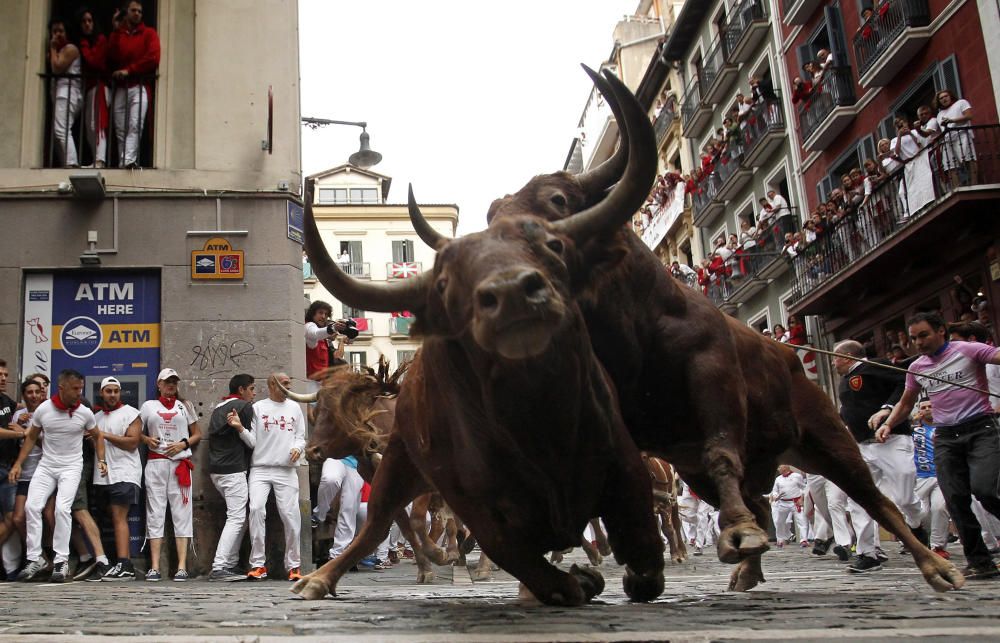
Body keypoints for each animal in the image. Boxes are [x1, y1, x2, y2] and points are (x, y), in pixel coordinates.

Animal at [292, 68, 668, 608]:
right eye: (315, 409)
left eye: (553, 247)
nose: (316, 452)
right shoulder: (434, 483)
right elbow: (419, 525)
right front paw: (441, 562)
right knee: (385, 524)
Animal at [406, 66, 960, 592]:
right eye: (493, 216)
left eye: (559, 200)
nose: (502, 269)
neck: (635, 330)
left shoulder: (711, 374)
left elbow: (720, 449)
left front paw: (727, 537)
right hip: (713, 468)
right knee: (764, 502)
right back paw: (747, 571)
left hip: (827, 435)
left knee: (872, 497)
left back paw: (934, 565)